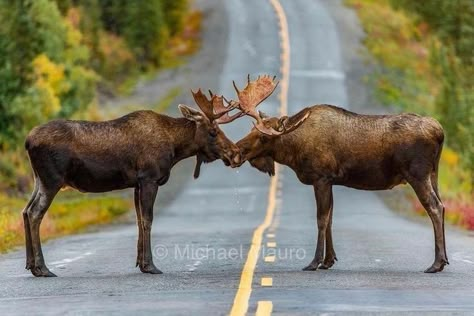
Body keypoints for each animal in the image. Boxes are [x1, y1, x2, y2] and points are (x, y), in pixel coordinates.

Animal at [22, 90, 241, 278]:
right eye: (213, 131)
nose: (235, 153)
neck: (175, 147)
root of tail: (27, 141)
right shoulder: (149, 178)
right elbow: (147, 219)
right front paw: (150, 265)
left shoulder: (136, 184)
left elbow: (138, 220)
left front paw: (140, 264)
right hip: (52, 180)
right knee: (35, 213)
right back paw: (42, 268)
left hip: (38, 180)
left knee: (25, 211)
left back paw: (31, 265)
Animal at [230, 75, 448, 272]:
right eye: (251, 130)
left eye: (263, 137)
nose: (236, 151)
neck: (294, 152)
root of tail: (440, 132)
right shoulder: (331, 180)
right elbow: (330, 219)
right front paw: (328, 260)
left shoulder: (321, 178)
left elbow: (321, 219)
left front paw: (314, 262)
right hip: (433, 174)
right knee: (442, 205)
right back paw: (444, 259)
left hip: (417, 175)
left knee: (435, 207)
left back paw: (436, 263)